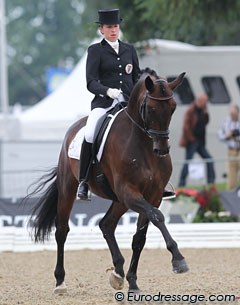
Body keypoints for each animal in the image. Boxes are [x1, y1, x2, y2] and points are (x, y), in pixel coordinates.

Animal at [29, 68, 188, 292]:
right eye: (151, 108)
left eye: (173, 107)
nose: (162, 150)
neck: (143, 145)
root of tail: (74, 128)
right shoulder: (129, 191)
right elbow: (157, 217)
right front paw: (178, 259)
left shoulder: (153, 195)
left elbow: (140, 237)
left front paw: (133, 283)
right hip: (69, 188)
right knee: (61, 231)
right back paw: (60, 282)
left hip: (120, 201)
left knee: (106, 225)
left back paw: (118, 273)